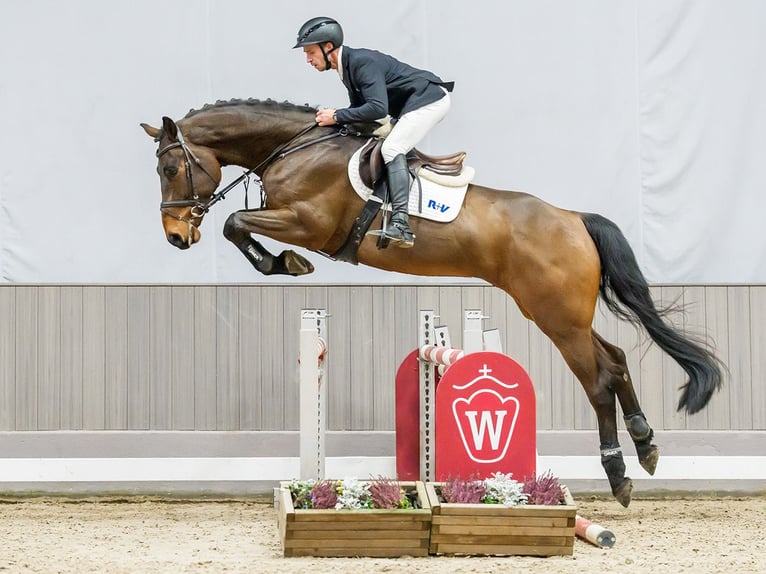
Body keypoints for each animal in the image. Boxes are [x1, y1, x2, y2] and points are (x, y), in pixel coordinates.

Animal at [141, 98, 723, 507]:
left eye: (170, 170)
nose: (175, 237)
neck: (294, 149)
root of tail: (574, 218)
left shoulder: (308, 223)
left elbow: (235, 222)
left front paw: (285, 263)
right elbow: (236, 225)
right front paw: (282, 263)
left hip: (558, 319)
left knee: (598, 379)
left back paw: (619, 473)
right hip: (559, 314)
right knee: (617, 360)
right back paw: (646, 445)